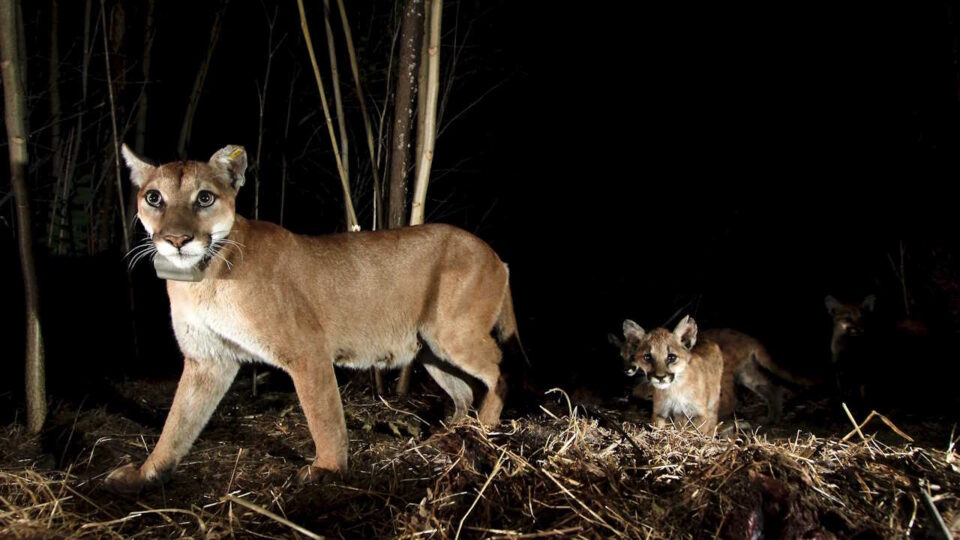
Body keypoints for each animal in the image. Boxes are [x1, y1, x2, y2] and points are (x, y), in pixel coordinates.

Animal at [108, 143, 520, 494]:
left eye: (205, 198)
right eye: (154, 198)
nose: (177, 240)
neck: (202, 278)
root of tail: (496, 255)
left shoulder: (307, 350)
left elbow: (324, 415)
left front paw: (328, 469)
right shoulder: (208, 359)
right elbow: (177, 423)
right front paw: (145, 474)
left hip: (453, 333)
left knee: (500, 369)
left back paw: (486, 427)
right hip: (431, 349)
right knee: (464, 391)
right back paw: (449, 435)